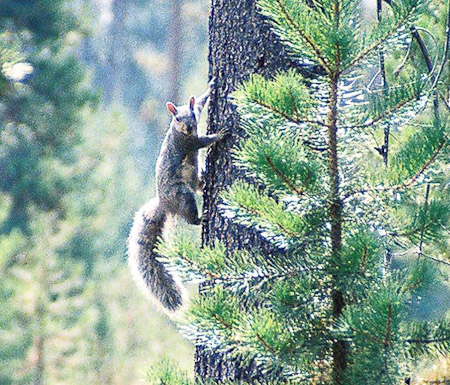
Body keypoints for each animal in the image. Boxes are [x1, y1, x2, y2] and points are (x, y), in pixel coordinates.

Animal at [127, 79, 227, 314]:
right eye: (177, 118)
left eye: (190, 114)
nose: (189, 127)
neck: (182, 132)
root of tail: (165, 205)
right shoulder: (189, 143)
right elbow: (203, 141)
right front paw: (219, 134)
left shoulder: (196, 114)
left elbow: (201, 102)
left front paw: (210, 87)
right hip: (183, 196)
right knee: (190, 216)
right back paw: (201, 217)